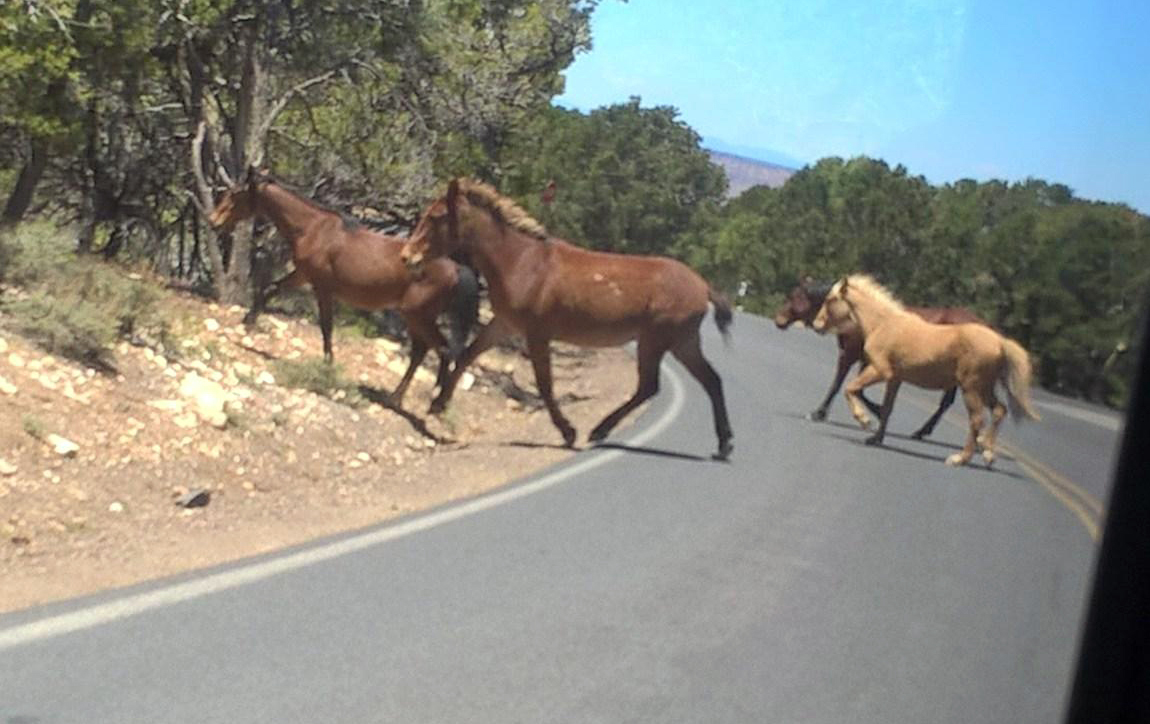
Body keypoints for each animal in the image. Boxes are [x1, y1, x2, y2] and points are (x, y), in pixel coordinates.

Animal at [207, 169, 479, 408]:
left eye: (236, 195)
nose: (213, 221)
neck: (313, 229)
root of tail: (457, 268)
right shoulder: (302, 275)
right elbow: (270, 289)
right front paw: (248, 320)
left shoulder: (322, 287)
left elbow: (326, 327)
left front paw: (328, 363)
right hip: (418, 318)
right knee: (422, 352)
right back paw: (399, 397)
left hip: (417, 315)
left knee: (440, 350)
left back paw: (430, 399)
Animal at [400, 178, 734, 460]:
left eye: (437, 216)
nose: (407, 257)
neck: (522, 263)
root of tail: (703, 286)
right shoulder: (504, 325)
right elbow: (468, 355)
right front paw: (438, 404)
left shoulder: (536, 334)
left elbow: (545, 384)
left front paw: (568, 431)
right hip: (682, 342)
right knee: (710, 380)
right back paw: (724, 444)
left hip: (656, 341)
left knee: (651, 386)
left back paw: (600, 430)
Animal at [775, 277, 988, 439]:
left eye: (792, 296)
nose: (778, 320)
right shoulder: (866, 360)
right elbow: (857, 389)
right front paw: (877, 412)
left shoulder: (850, 354)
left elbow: (838, 385)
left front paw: (820, 413)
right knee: (949, 402)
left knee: (948, 403)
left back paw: (923, 431)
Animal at [811, 274, 1040, 467]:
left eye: (830, 299)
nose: (816, 324)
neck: (882, 324)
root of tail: (1000, 342)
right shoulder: (895, 379)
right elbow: (887, 408)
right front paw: (875, 438)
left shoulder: (880, 371)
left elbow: (849, 388)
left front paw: (864, 420)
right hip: (984, 388)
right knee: (999, 410)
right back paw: (988, 455)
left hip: (971, 388)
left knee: (976, 419)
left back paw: (959, 458)